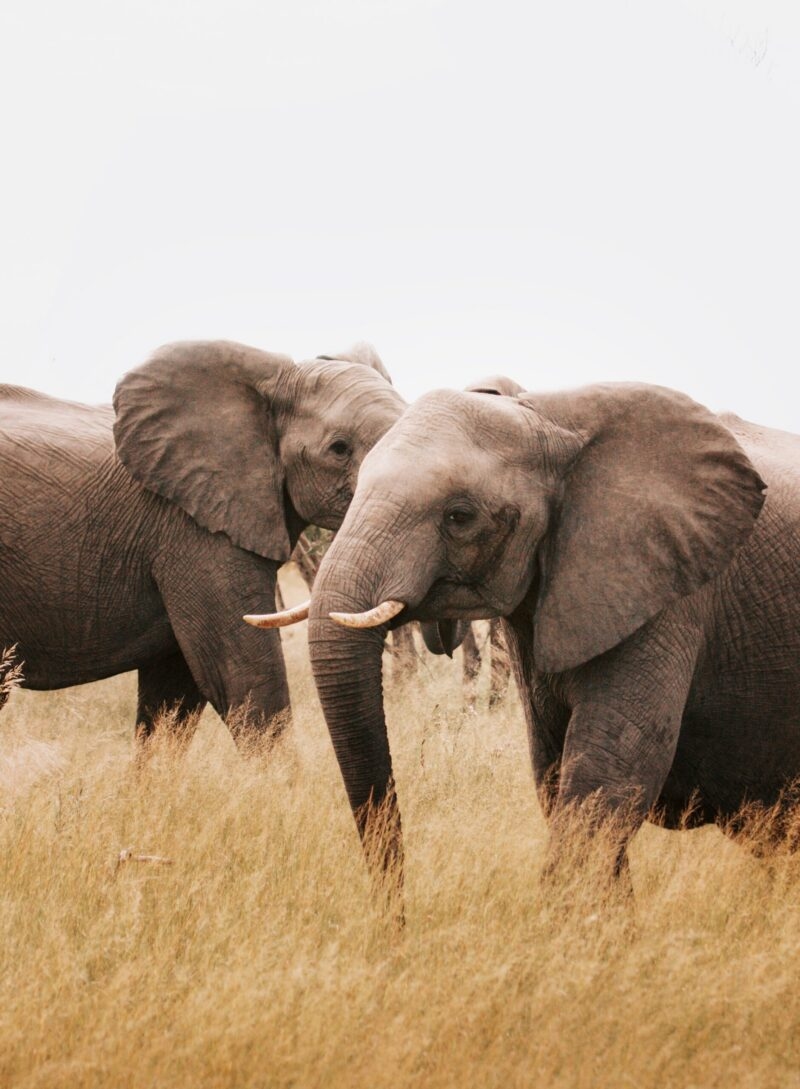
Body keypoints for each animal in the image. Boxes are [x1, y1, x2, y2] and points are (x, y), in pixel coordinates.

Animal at [299, 380, 800, 905]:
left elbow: (606, 780)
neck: (546, 418)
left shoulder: (664, 593)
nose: (396, 917)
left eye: (460, 516)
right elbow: (555, 777)